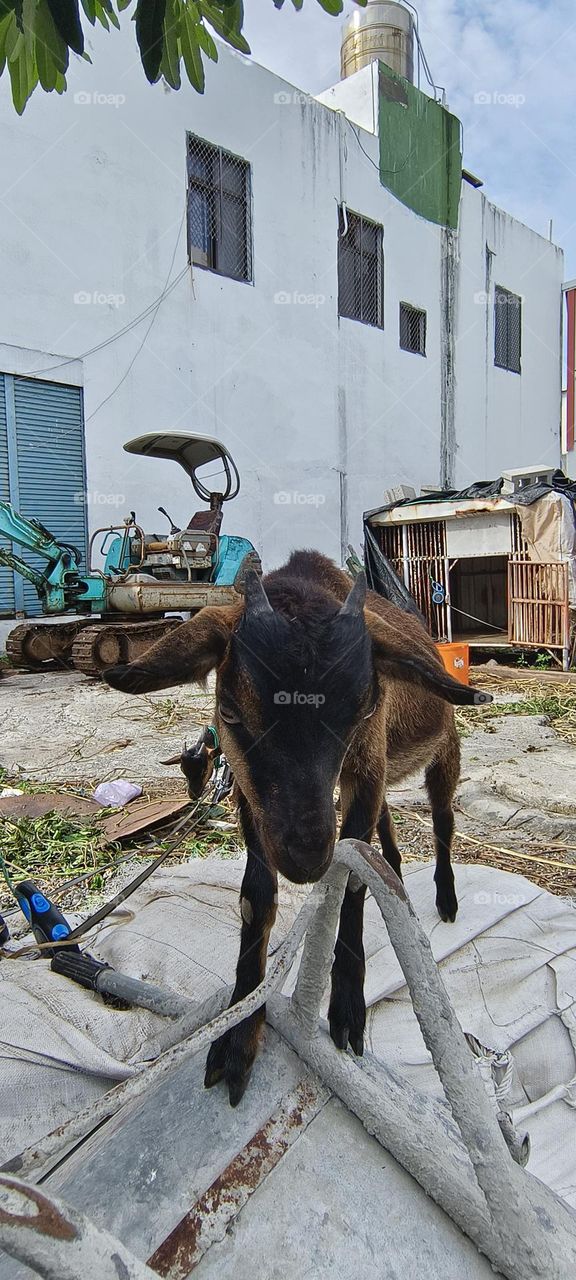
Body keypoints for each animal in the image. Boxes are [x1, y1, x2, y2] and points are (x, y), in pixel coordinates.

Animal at [103, 551, 489, 1106]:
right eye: (228, 711)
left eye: (363, 707)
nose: (305, 857)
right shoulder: (253, 795)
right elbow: (257, 897)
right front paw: (239, 1033)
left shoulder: (365, 766)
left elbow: (350, 880)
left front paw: (347, 1009)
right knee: (387, 837)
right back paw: (396, 877)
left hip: (443, 750)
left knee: (442, 820)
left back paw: (446, 897)